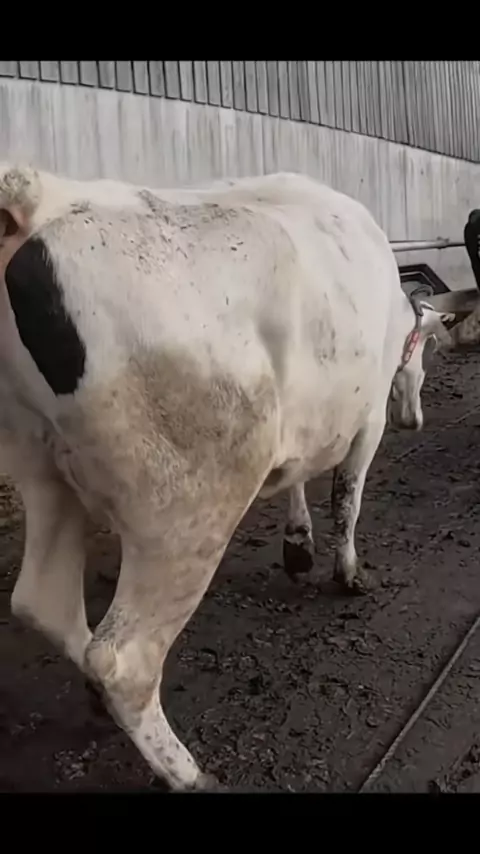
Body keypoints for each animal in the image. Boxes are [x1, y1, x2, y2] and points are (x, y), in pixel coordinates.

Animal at [0, 165, 474, 791]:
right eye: (423, 353)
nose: (414, 419)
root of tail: (38, 195)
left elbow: (298, 480)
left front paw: (297, 545)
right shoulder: (367, 415)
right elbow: (346, 498)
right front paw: (348, 571)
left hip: (43, 468)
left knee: (44, 602)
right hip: (187, 504)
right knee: (123, 657)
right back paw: (190, 773)